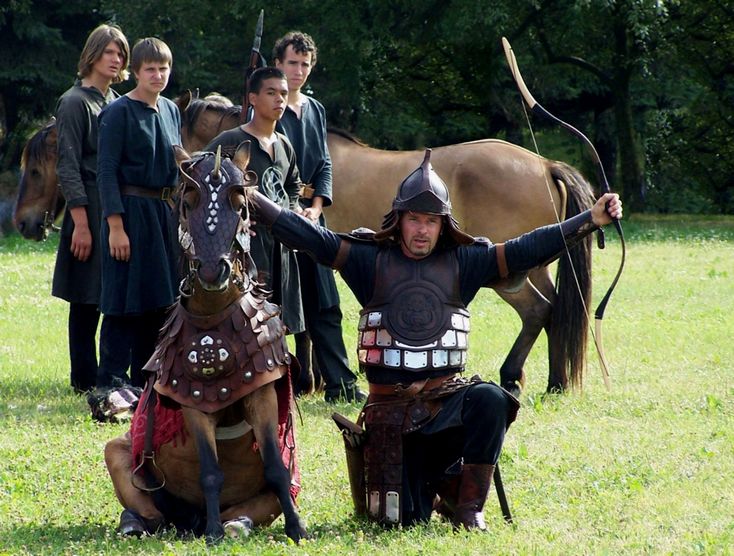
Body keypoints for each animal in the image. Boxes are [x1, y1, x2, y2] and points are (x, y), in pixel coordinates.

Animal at [103, 143, 307, 544]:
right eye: (187, 203)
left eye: (240, 205)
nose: (214, 271)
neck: (214, 322)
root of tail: (187, 520)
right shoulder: (193, 404)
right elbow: (211, 471)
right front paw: (212, 533)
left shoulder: (261, 393)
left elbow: (276, 468)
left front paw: (296, 527)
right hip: (119, 454)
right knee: (151, 512)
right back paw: (142, 522)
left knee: (250, 509)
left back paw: (235, 523)